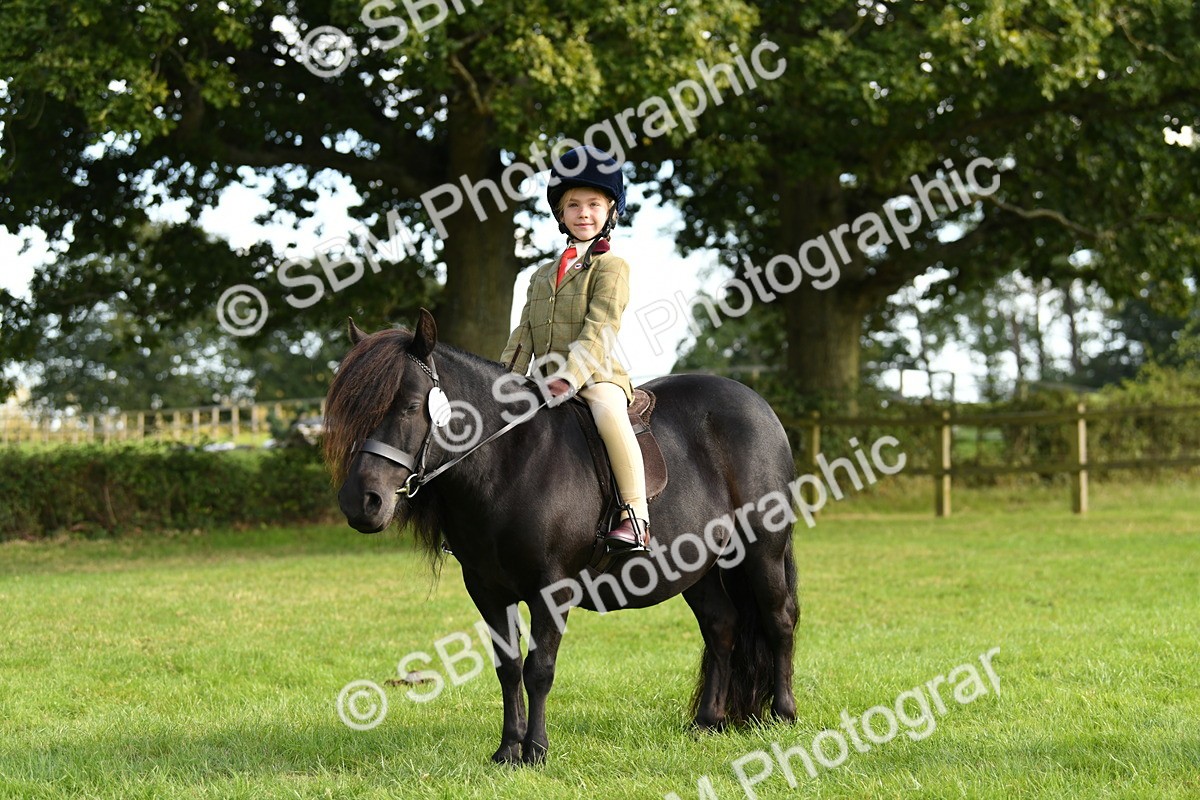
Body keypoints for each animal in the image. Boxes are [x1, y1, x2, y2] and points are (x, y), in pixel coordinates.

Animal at [324, 309, 799, 764]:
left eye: (407, 406)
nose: (360, 501)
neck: (511, 463)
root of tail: (756, 403)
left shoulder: (552, 588)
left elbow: (539, 668)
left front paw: (535, 750)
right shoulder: (487, 590)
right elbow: (508, 667)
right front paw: (508, 750)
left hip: (763, 551)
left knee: (779, 619)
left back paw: (783, 714)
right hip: (697, 568)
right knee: (722, 626)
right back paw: (707, 721)